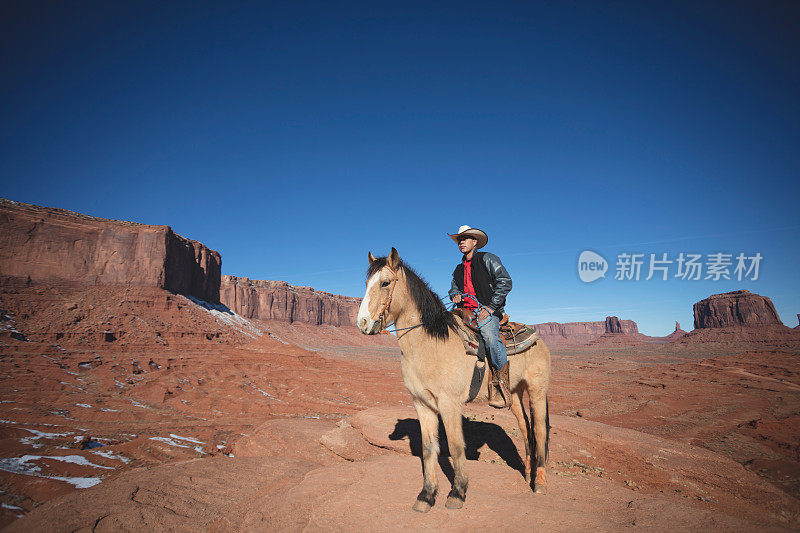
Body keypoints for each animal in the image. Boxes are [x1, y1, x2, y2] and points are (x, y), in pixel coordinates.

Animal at [356, 249, 552, 512]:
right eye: (367, 283)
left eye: (385, 283)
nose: (363, 323)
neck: (429, 345)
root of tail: (538, 339)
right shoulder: (422, 403)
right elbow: (429, 448)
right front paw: (426, 496)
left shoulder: (449, 403)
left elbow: (456, 447)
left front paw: (458, 493)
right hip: (514, 394)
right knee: (525, 429)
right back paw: (528, 474)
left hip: (537, 391)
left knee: (539, 430)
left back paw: (539, 482)